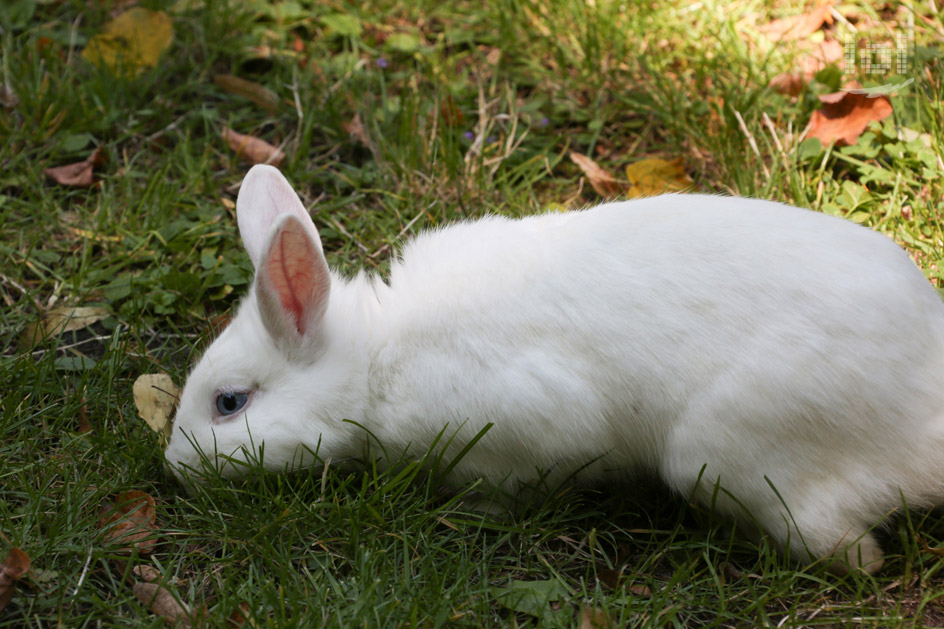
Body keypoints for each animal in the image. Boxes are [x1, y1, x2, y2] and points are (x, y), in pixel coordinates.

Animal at [166, 164, 944, 572]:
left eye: (229, 402)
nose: (173, 467)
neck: (379, 358)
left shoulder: (524, 428)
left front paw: (473, 513)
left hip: (727, 457)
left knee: (855, 551)